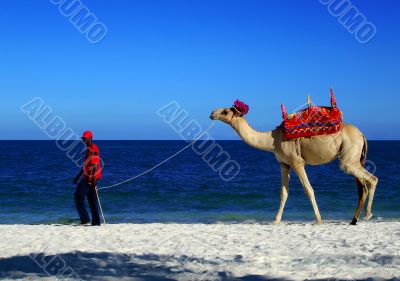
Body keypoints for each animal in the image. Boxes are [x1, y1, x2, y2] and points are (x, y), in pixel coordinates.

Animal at [209, 104, 378, 223]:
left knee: (372, 179)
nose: (212, 113)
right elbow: (284, 192)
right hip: (355, 160)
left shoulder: (297, 162)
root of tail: (362, 135)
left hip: (349, 159)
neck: (272, 140)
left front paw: (319, 220)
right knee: (362, 187)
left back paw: (367, 215)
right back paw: (354, 220)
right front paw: (276, 220)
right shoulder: (284, 164)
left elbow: (309, 189)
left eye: (225, 111)